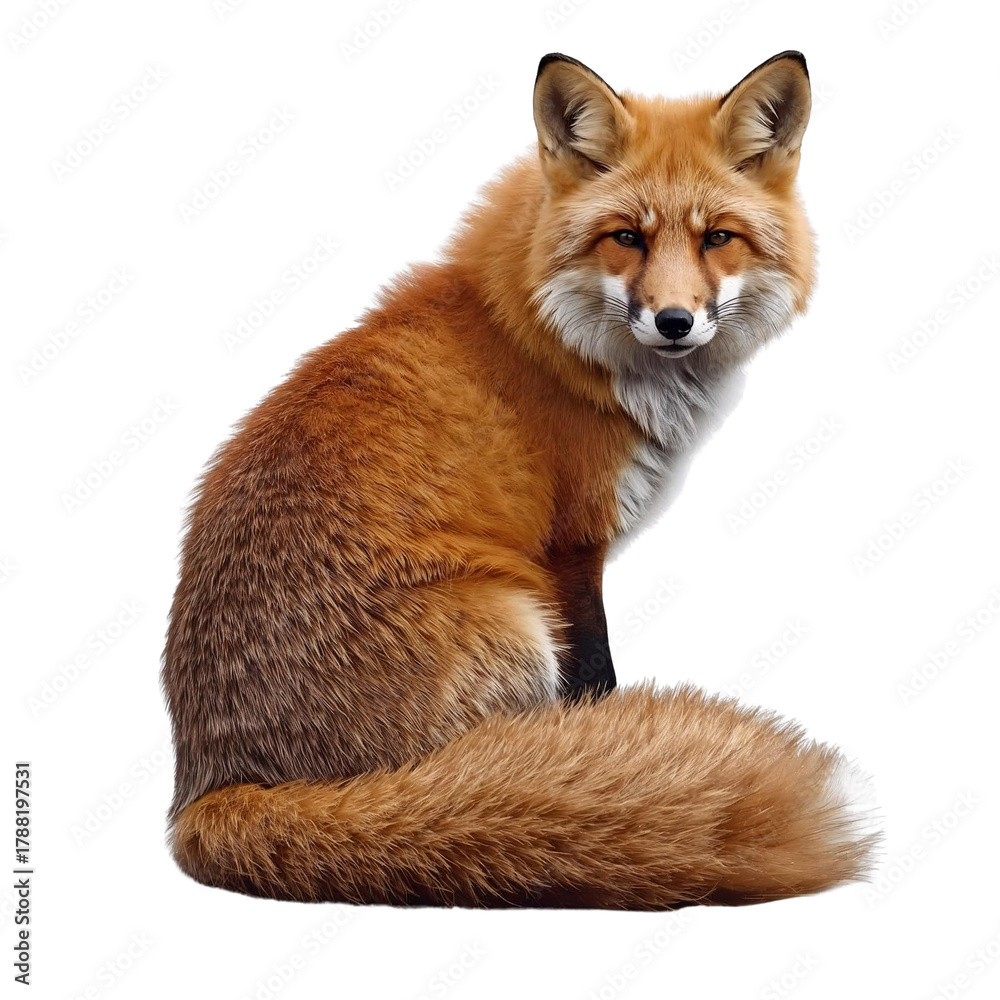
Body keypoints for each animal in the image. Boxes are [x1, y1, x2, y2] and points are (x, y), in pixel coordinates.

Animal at [163, 51, 879, 908]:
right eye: (626, 237)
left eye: (718, 239)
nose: (675, 321)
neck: (553, 333)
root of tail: (207, 787)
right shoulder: (570, 545)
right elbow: (598, 675)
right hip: (512, 620)